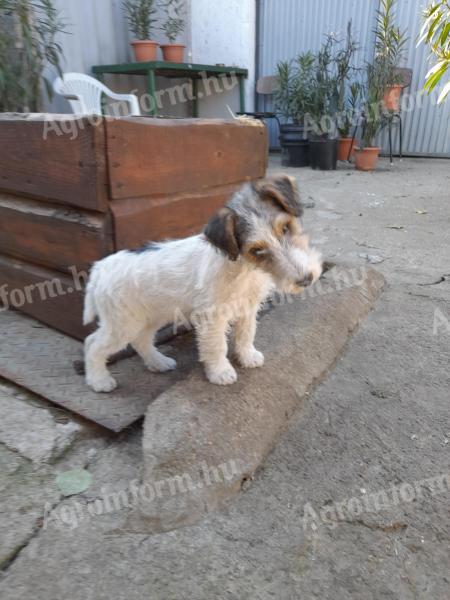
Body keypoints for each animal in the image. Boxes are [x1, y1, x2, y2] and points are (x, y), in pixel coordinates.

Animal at [82, 173, 322, 392]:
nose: (306, 279)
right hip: (122, 324)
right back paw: (99, 381)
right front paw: (220, 372)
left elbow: (246, 334)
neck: (243, 268)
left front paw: (248, 356)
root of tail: (99, 269)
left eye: (285, 228)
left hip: (149, 316)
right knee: (93, 344)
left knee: (141, 340)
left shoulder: (248, 308)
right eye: (257, 250)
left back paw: (158, 362)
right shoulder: (212, 317)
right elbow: (217, 346)